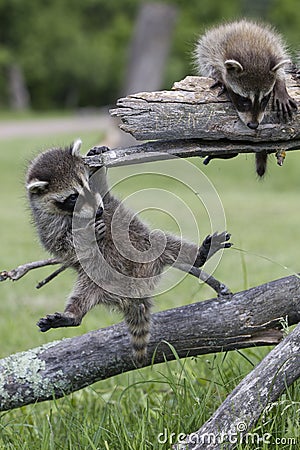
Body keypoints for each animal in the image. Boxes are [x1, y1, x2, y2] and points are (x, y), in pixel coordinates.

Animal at [25, 141, 232, 366]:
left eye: (87, 186)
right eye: (72, 196)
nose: (99, 212)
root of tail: (134, 293)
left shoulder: (104, 200)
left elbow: (104, 191)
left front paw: (97, 158)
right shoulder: (47, 223)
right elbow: (61, 245)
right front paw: (84, 234)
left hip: (148, 247)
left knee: (164, 242)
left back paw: (199, 254)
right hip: (95, 279)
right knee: (83, 293)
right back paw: (72, 314)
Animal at [195, 20, 298, 177]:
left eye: (264, 99)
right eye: (244, 100)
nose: (254, 125)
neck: (251, 50)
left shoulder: (274, 48)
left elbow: (280, 68)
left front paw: (281, 86)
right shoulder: (214, 49)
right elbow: (209, 63)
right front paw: (219, 76)